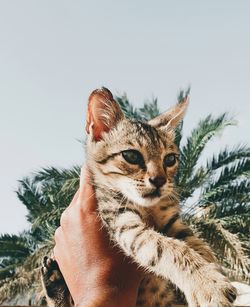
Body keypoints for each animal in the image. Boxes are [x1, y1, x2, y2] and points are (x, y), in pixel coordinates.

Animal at [41, 88, 236, 306]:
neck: (147, 207)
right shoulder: (123, 221)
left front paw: (211, 271)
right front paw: (207, 284)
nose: (159, 180)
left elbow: (196, 244)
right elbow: (166, 248)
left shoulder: (173, 222)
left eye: (170, 159)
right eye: (131, 156)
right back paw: (54, 280)